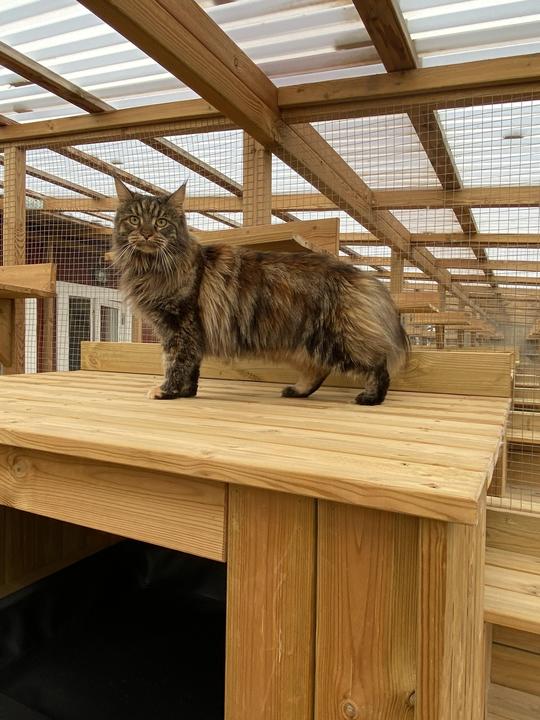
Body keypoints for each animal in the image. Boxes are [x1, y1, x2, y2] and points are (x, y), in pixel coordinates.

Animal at [111, 178, 409, 404]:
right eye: (134, 219)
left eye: (161, 222)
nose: (147, 233)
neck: (150, 266)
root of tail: (361, 275)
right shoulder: (189, 332)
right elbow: (191, 368)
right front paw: (186, 393)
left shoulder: (180, 325)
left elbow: (175, 363)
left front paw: (167, 392)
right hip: (306, 343)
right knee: (318, 369)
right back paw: (297, 391)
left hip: (337, 340)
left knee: (377, 364)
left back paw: (371, 398)